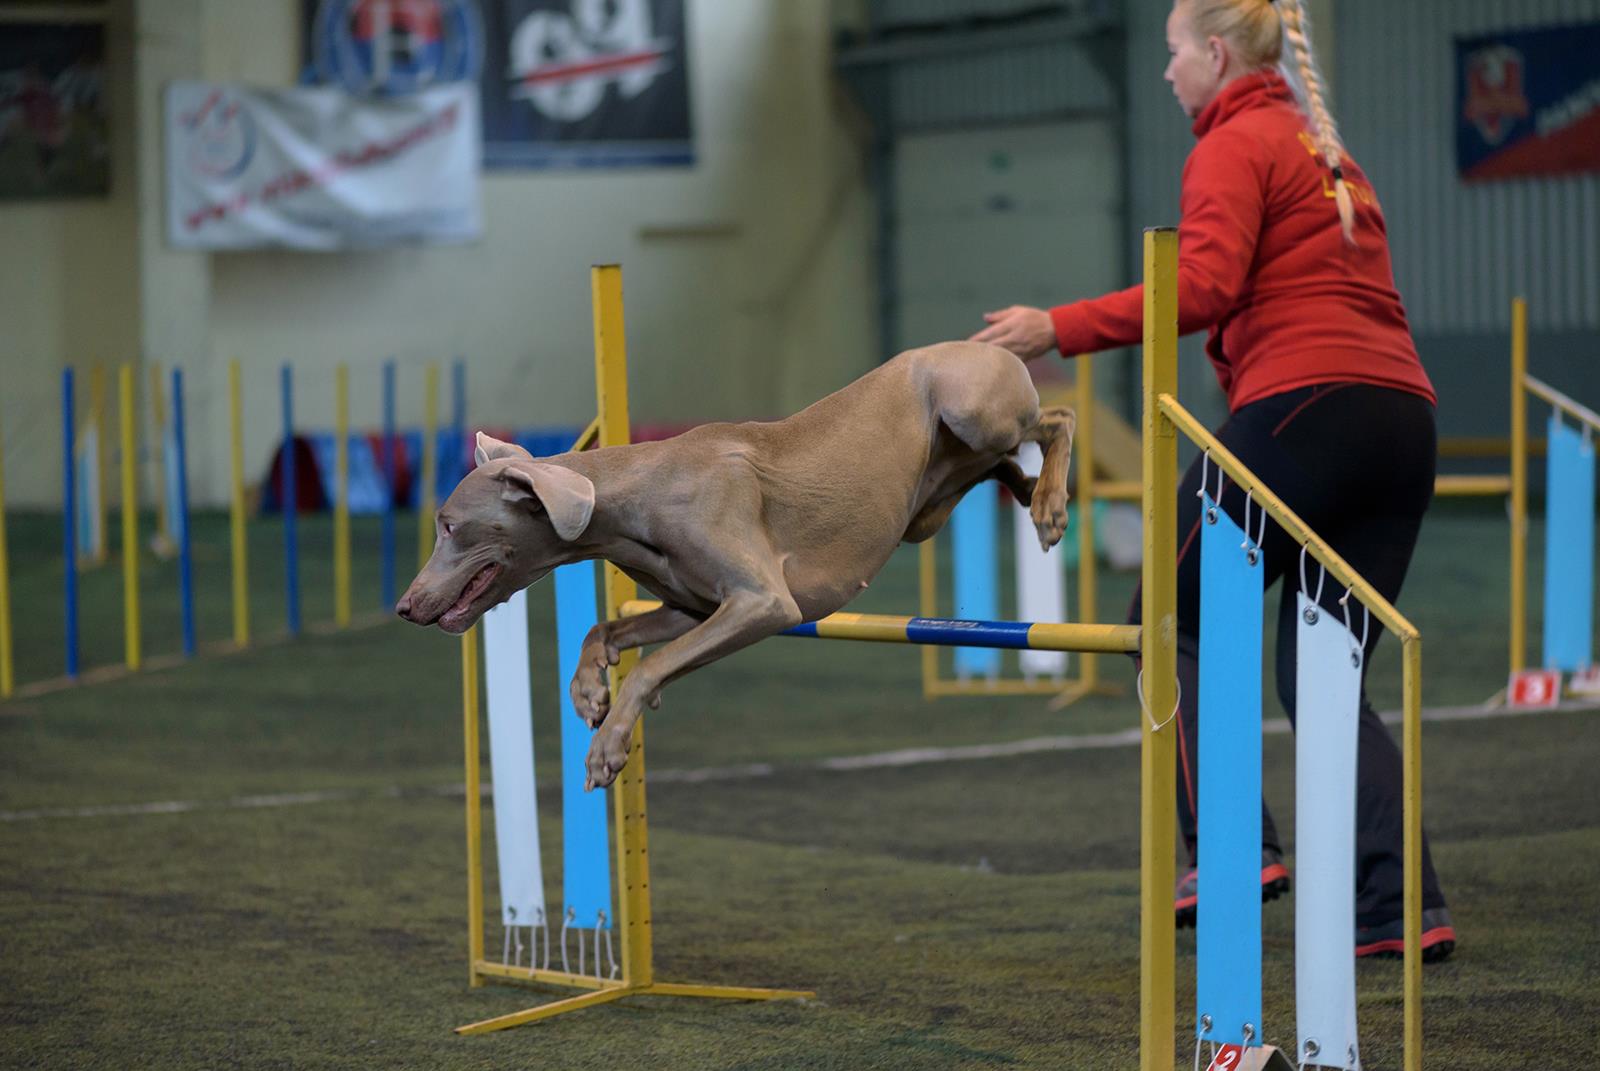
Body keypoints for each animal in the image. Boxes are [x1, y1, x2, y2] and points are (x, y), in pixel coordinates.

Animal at [398, 337, 1075, 790]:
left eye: (449, 526)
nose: (404, 606)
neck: (633, 497)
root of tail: (983, 342)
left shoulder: (764, 601)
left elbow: (655, 666)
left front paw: (607, 748)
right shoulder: (689, 606)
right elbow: (606, 628)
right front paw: (590, 691)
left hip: (971, 410)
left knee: (1056, 419)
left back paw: (1050, 505)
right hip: (926, 506)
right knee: (1001, 466)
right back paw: (1030, 491)